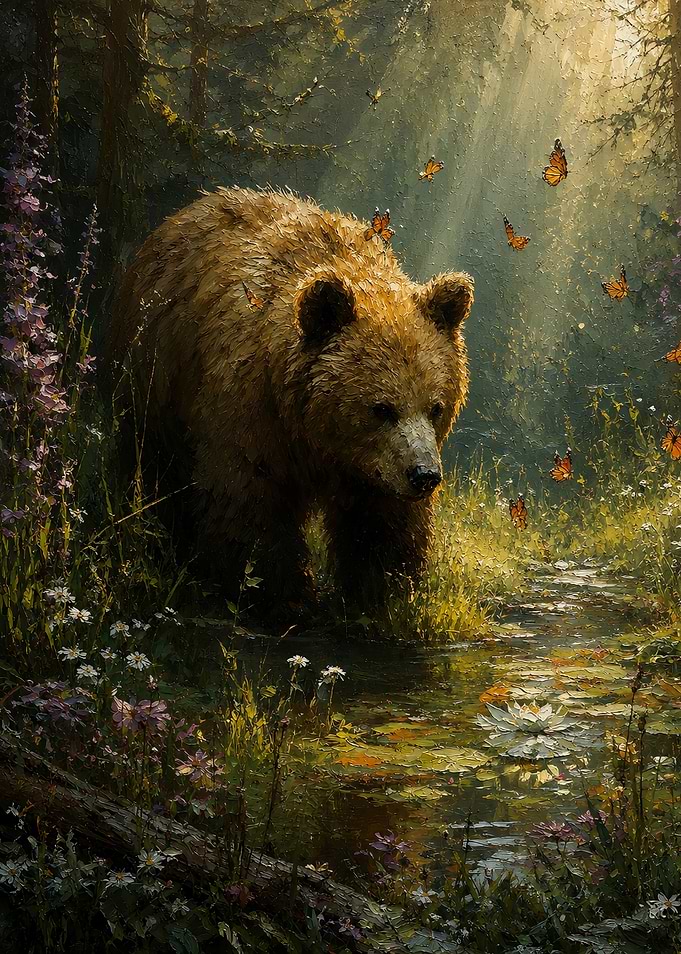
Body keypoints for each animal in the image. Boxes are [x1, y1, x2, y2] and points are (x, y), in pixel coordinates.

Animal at [107, 187, 474, 609]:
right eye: (381, 408)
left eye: (436, 407)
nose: (424, 476)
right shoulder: (250, 411)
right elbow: (249, 499)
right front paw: (278, 590)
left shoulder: (376, 468)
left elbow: (382, 521)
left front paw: (384, 588)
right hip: (155, 373)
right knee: (152, 461)